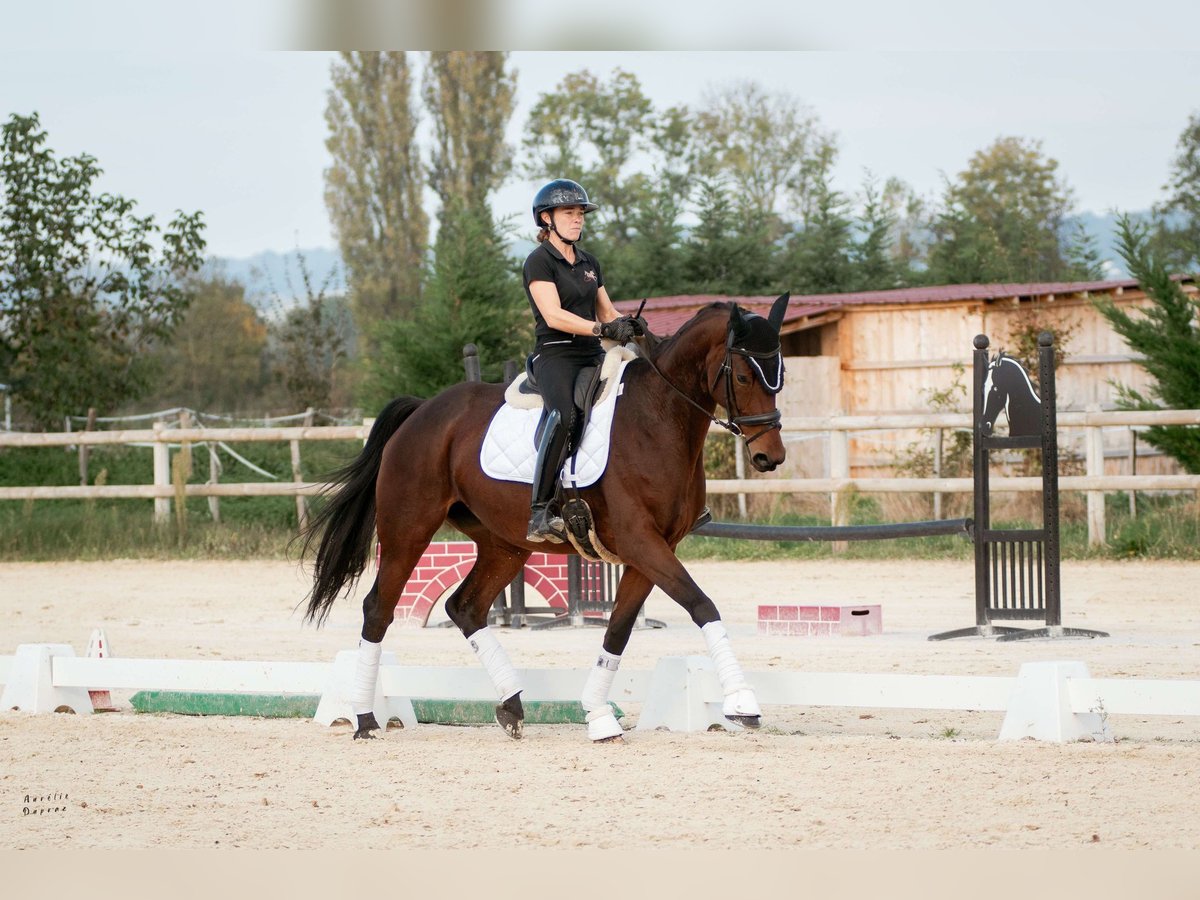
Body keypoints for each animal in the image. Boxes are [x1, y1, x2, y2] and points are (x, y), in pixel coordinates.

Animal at [302, 294, 787, 739]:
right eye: (743, 375)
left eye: (780, 376)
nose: (771, 457)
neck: (658, 418)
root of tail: (422, 411)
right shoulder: (640, 542)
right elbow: (701, 604)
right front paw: (742, 703)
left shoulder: (651, 550)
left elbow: (618, 629)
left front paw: (598, 715)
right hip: (409, 530)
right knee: (378, 609)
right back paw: (365, 718)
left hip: (504, 544)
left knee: (465, 606)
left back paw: (511, 705)